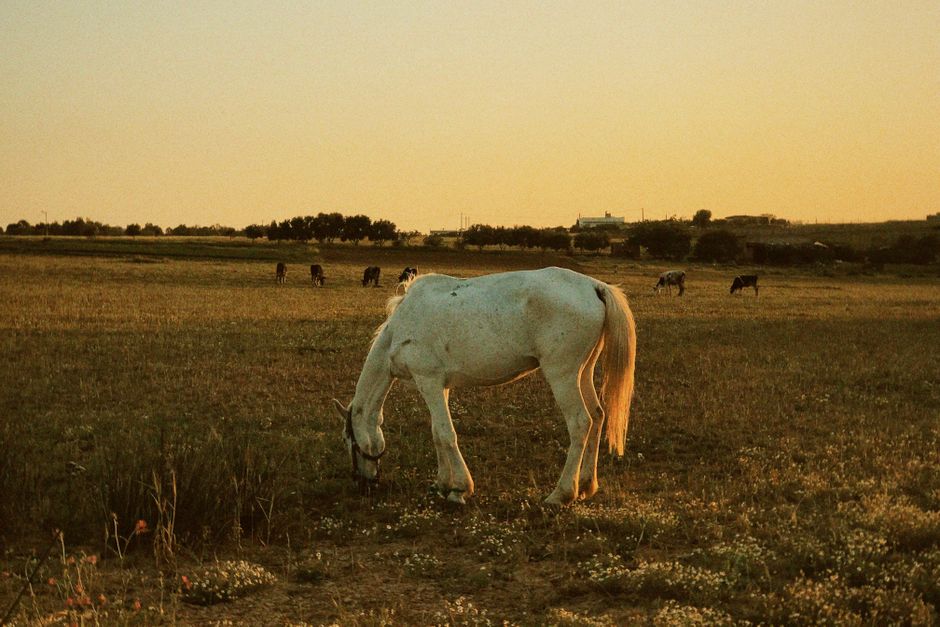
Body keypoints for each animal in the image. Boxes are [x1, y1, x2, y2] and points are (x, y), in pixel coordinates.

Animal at [332, 267, 636, 506]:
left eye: (348, 439)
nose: (363, 483)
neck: (400, 327)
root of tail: (594, 286)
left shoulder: (427, 380)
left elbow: (446, 434)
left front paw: (459, 489)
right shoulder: (440, 386)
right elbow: (437, 433)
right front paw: (442, 484)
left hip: (562, 375)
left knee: (581, 423)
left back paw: (561, 494)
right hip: (583, 372)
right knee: (598, 416)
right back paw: (586, 485)